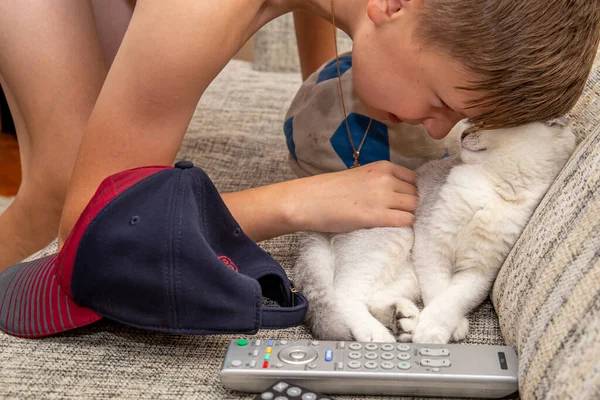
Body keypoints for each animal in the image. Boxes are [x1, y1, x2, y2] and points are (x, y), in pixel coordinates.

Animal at [296, 119, 576, 344]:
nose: (464, 133)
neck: (494, 186)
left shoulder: (481, 269)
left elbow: (455, 298)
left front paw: (434, 327)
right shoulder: (432, 243)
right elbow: (439, 289)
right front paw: (441, 329)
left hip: (408, 273)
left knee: (371, 296)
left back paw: (402, 317)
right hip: (395, 237)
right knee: (343, 293)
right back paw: (376, 332)